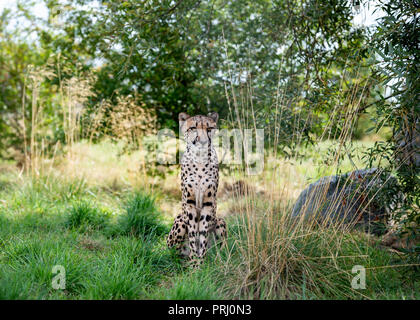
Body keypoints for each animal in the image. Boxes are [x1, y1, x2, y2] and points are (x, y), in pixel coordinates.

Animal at [167, 111, 226, 264]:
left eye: (209, 128)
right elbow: (194, 234)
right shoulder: (190, 204)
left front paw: (201, 262)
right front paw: (195, 262)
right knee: (173, 252)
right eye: (193, 128)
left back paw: (217, 259)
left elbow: (203, 234)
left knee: (222, 250)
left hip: (220, 221)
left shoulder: (208, 203)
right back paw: (184, 259)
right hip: (180, 221)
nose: (203, 141)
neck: (200, 160)